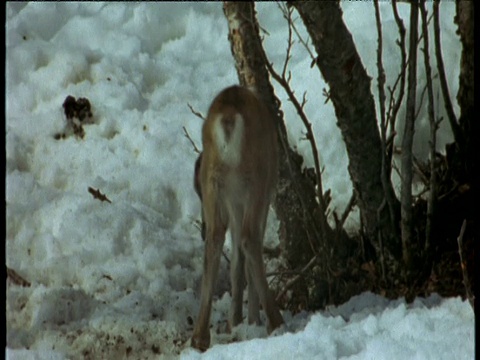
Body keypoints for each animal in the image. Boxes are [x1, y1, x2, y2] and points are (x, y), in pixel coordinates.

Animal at [190, 86, 284, 350]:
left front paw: (236, 321)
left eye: (196, 191)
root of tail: (228, 117)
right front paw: (251, 320)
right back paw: (275, 321)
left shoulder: (232, 202)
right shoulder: (254, 197)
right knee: (250, 239)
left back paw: (200, 337)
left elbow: (236, 263)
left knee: (214, 243)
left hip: (215, 182)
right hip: (256, 179)